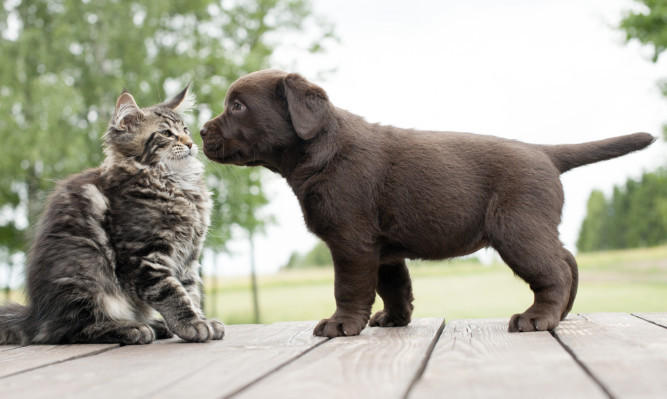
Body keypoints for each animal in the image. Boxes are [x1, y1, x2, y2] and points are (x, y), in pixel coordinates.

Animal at [0, 87, 224, 346]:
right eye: (167, 133)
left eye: (185, 130)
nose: (190, 143)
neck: (176, 183)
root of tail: (35, 316)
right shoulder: (144, 256)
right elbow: (172, 293)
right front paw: (192, 324)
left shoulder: (188, 258)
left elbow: (191, 292)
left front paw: (200, 319)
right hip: (86, 272)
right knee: (67, 331)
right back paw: (132, 328)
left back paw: (155, 325)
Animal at [200, 69, 656, 338]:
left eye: (237, 106)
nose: (201, 131)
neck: (320, 150)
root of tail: (543, 152)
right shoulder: (381, 248)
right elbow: (394, 286)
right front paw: (394, 319)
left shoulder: (350, 241)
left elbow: (349, 287)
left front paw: (341, 324)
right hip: (532, 227)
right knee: (567, 260)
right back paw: (561, 314)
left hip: (517, 229)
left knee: (555, 269)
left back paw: (537, 317)